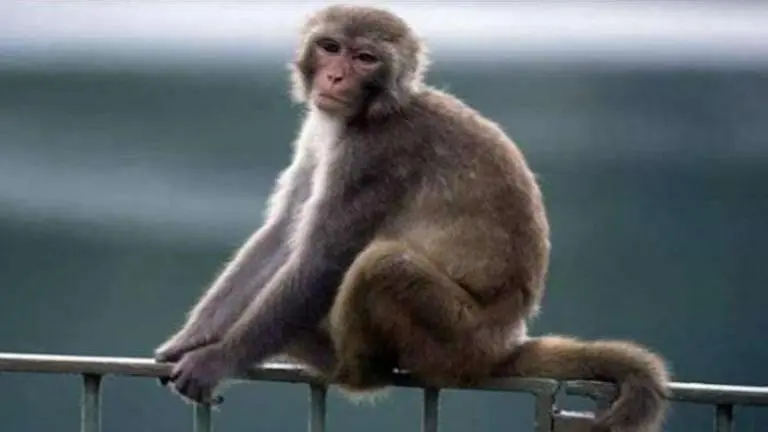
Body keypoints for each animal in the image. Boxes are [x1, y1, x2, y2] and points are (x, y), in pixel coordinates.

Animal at [155, 4, 670, 431]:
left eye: (365, 58)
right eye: (330, 47)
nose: (335, 78)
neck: (372, 111)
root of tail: (506, 343)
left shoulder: (374, 155)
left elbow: (322, 259)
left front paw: (219, 358)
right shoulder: (322, 133)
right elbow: (282, 234)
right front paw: (191, 338)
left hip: (457, 337)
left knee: (382, 265)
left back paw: (344, 366)